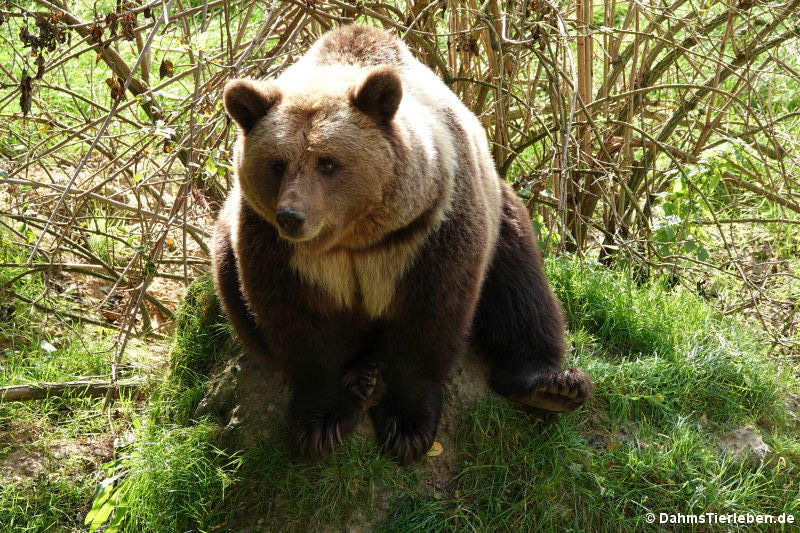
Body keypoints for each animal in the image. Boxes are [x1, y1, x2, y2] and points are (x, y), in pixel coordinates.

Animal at [216, 27, 592, 464]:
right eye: (277, 163)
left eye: (328, 162)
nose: (292, 216)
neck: (353, 240)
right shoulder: (282, 250)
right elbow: (301, 325)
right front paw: (321, 423)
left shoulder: (427, 231)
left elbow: (428, 320)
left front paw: (407, 428)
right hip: (227, 246)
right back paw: (362, 376)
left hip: (499, 216)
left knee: (520, 287)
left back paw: (552, 386)